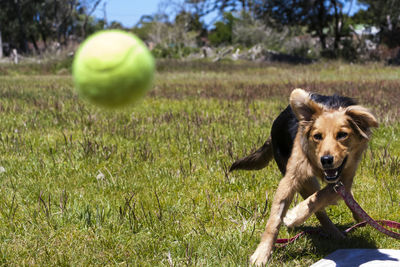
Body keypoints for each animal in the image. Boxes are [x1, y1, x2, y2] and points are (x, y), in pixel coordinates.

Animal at [231, 88, 378, 266]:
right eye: (317, 136)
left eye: (342, 135)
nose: (326, 160)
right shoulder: (291, 177)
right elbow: (274, 221)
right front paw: (262, 253)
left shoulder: (345, 177)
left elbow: (323, 195)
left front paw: (294, 215)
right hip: (305, 181)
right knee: (320, 212)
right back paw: (335, 232)